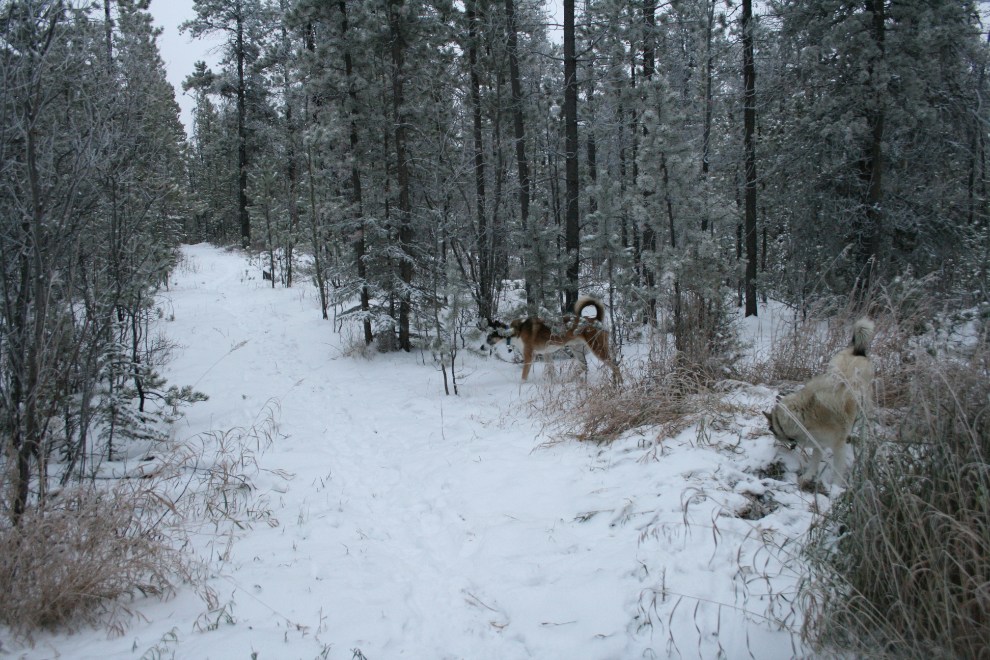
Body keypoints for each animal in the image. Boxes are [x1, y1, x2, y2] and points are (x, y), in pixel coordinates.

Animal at [486, 294, 620, 382]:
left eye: (490, 337)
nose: (482, 347)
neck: (514, 332)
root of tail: (596, 319)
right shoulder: (547, 354)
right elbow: (551, 371)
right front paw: (554, 383)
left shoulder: (529, 355)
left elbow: (524, 376)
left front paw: (521, 386)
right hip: (577, 349)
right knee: (584, 366)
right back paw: (571, 380)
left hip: (597, 348)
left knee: (614, 365)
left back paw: (619, 384)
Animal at [768, 318, 876, 488]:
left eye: (773, 430)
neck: (805, 415)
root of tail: (857, 351)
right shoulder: (818, 442)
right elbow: (815, 461)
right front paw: (808, 476)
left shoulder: (838, 446)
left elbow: (838, 469)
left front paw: (836, 488)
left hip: (865, 410)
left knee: (865, 429)